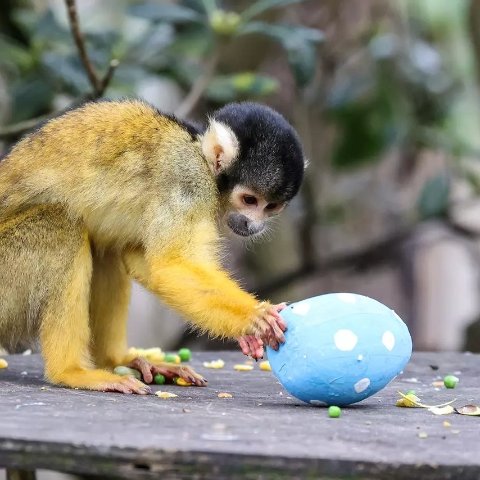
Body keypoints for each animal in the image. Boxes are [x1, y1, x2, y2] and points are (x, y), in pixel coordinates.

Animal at [0, 99, 306, 392]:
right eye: (249, 200)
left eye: (271, 207)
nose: (254, 226)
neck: (201, 156)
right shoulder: (187, 182)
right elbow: (171, 265)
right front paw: (255, 317)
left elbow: (140, 257)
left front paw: (245, 333)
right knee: (62, 226)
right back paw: (70, 371)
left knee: (106, 247)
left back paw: (116, 360)